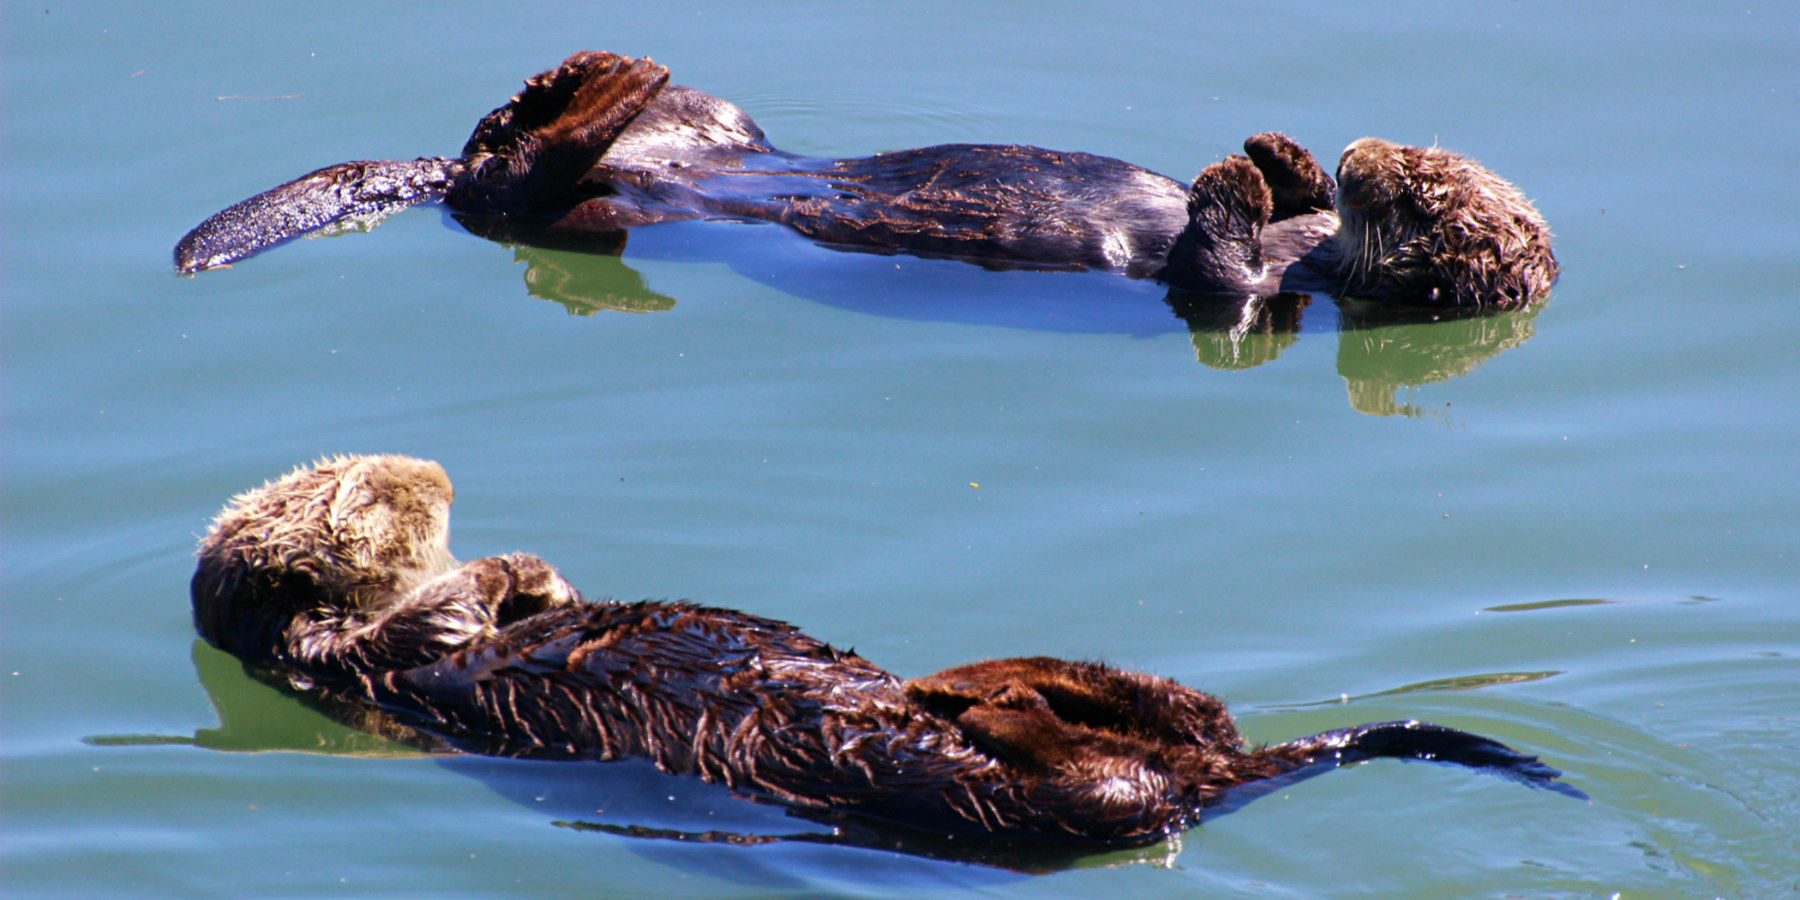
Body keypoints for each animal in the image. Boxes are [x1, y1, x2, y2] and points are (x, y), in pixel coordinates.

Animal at [191, 454, 1579, 844]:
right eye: (358, 490)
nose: (433, 472)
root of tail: (1216, 789)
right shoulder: (356, 665)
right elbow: (432, 624)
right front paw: (495, 572)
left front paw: (541, 573)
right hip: (1023, 804)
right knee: (1118, 779)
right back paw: (987, 702)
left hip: (1151, 748)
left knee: (1190, 715)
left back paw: (976, 679)